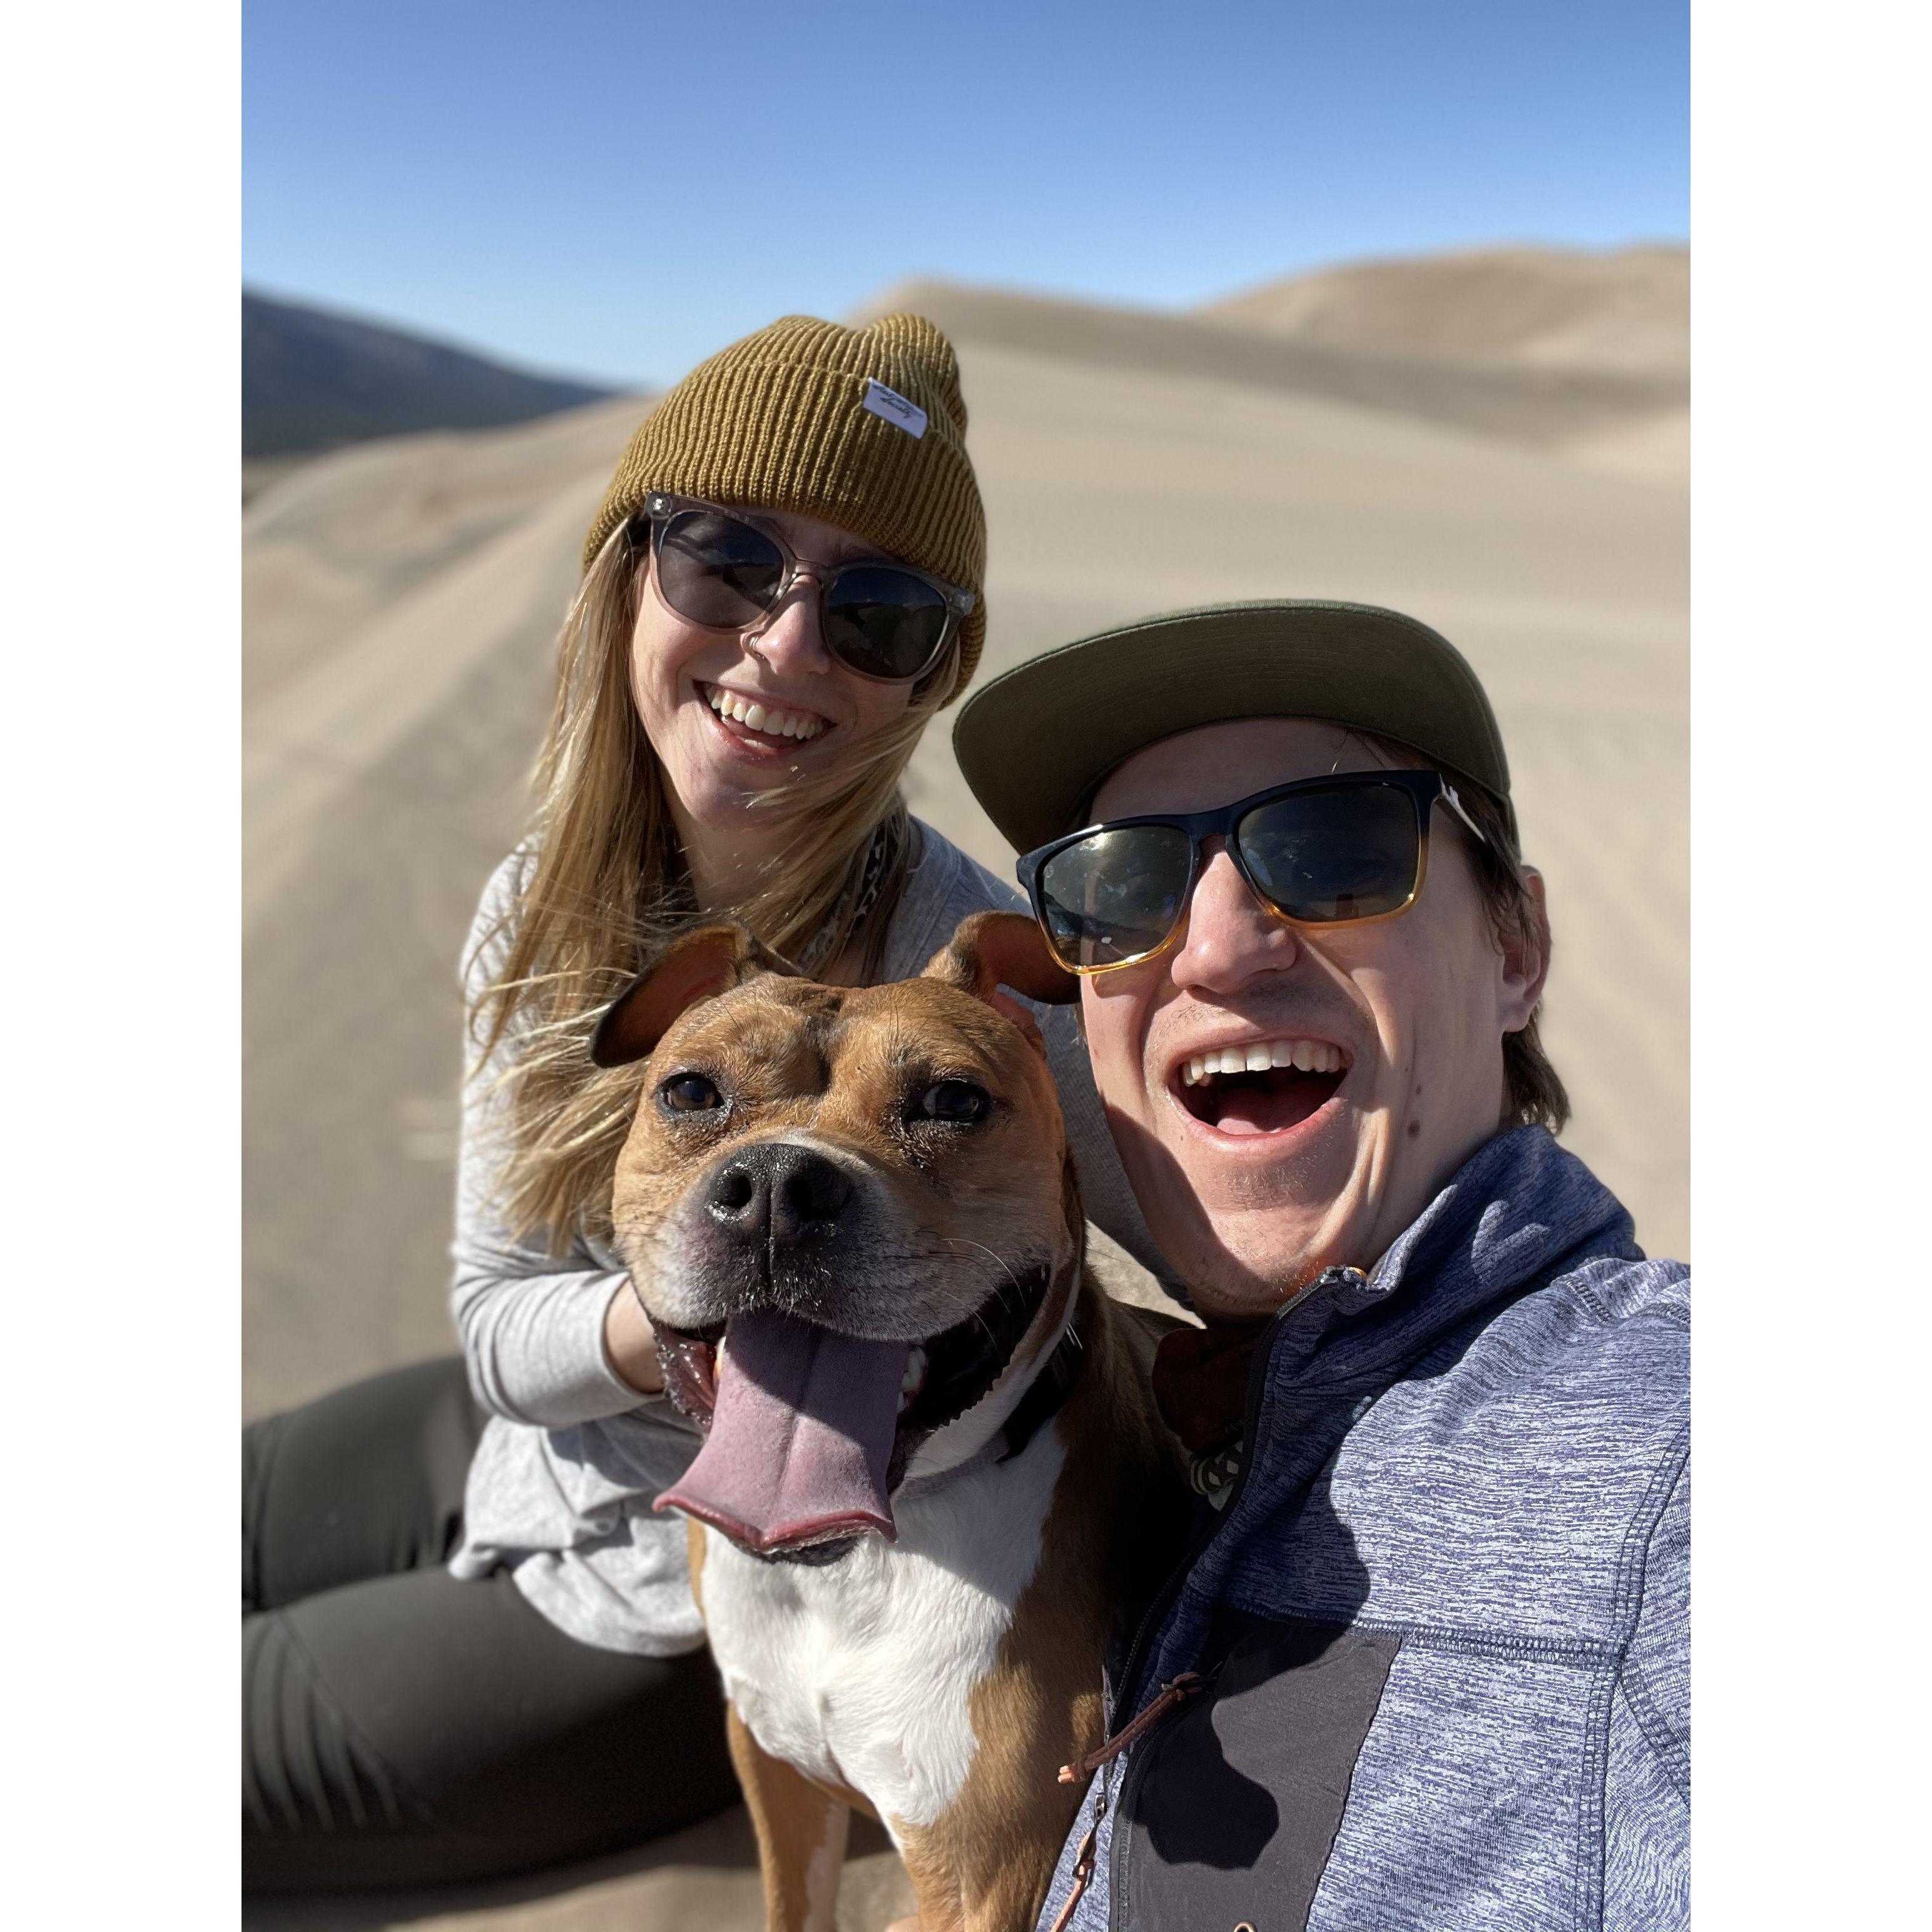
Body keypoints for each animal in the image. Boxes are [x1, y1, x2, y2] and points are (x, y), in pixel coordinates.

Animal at [591, 915, 1190, 1932]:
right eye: (692, 1091)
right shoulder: (774, 1771)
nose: (780, 1184)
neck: (847, 1569)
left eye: (952, 1100)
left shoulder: (986, 1882)